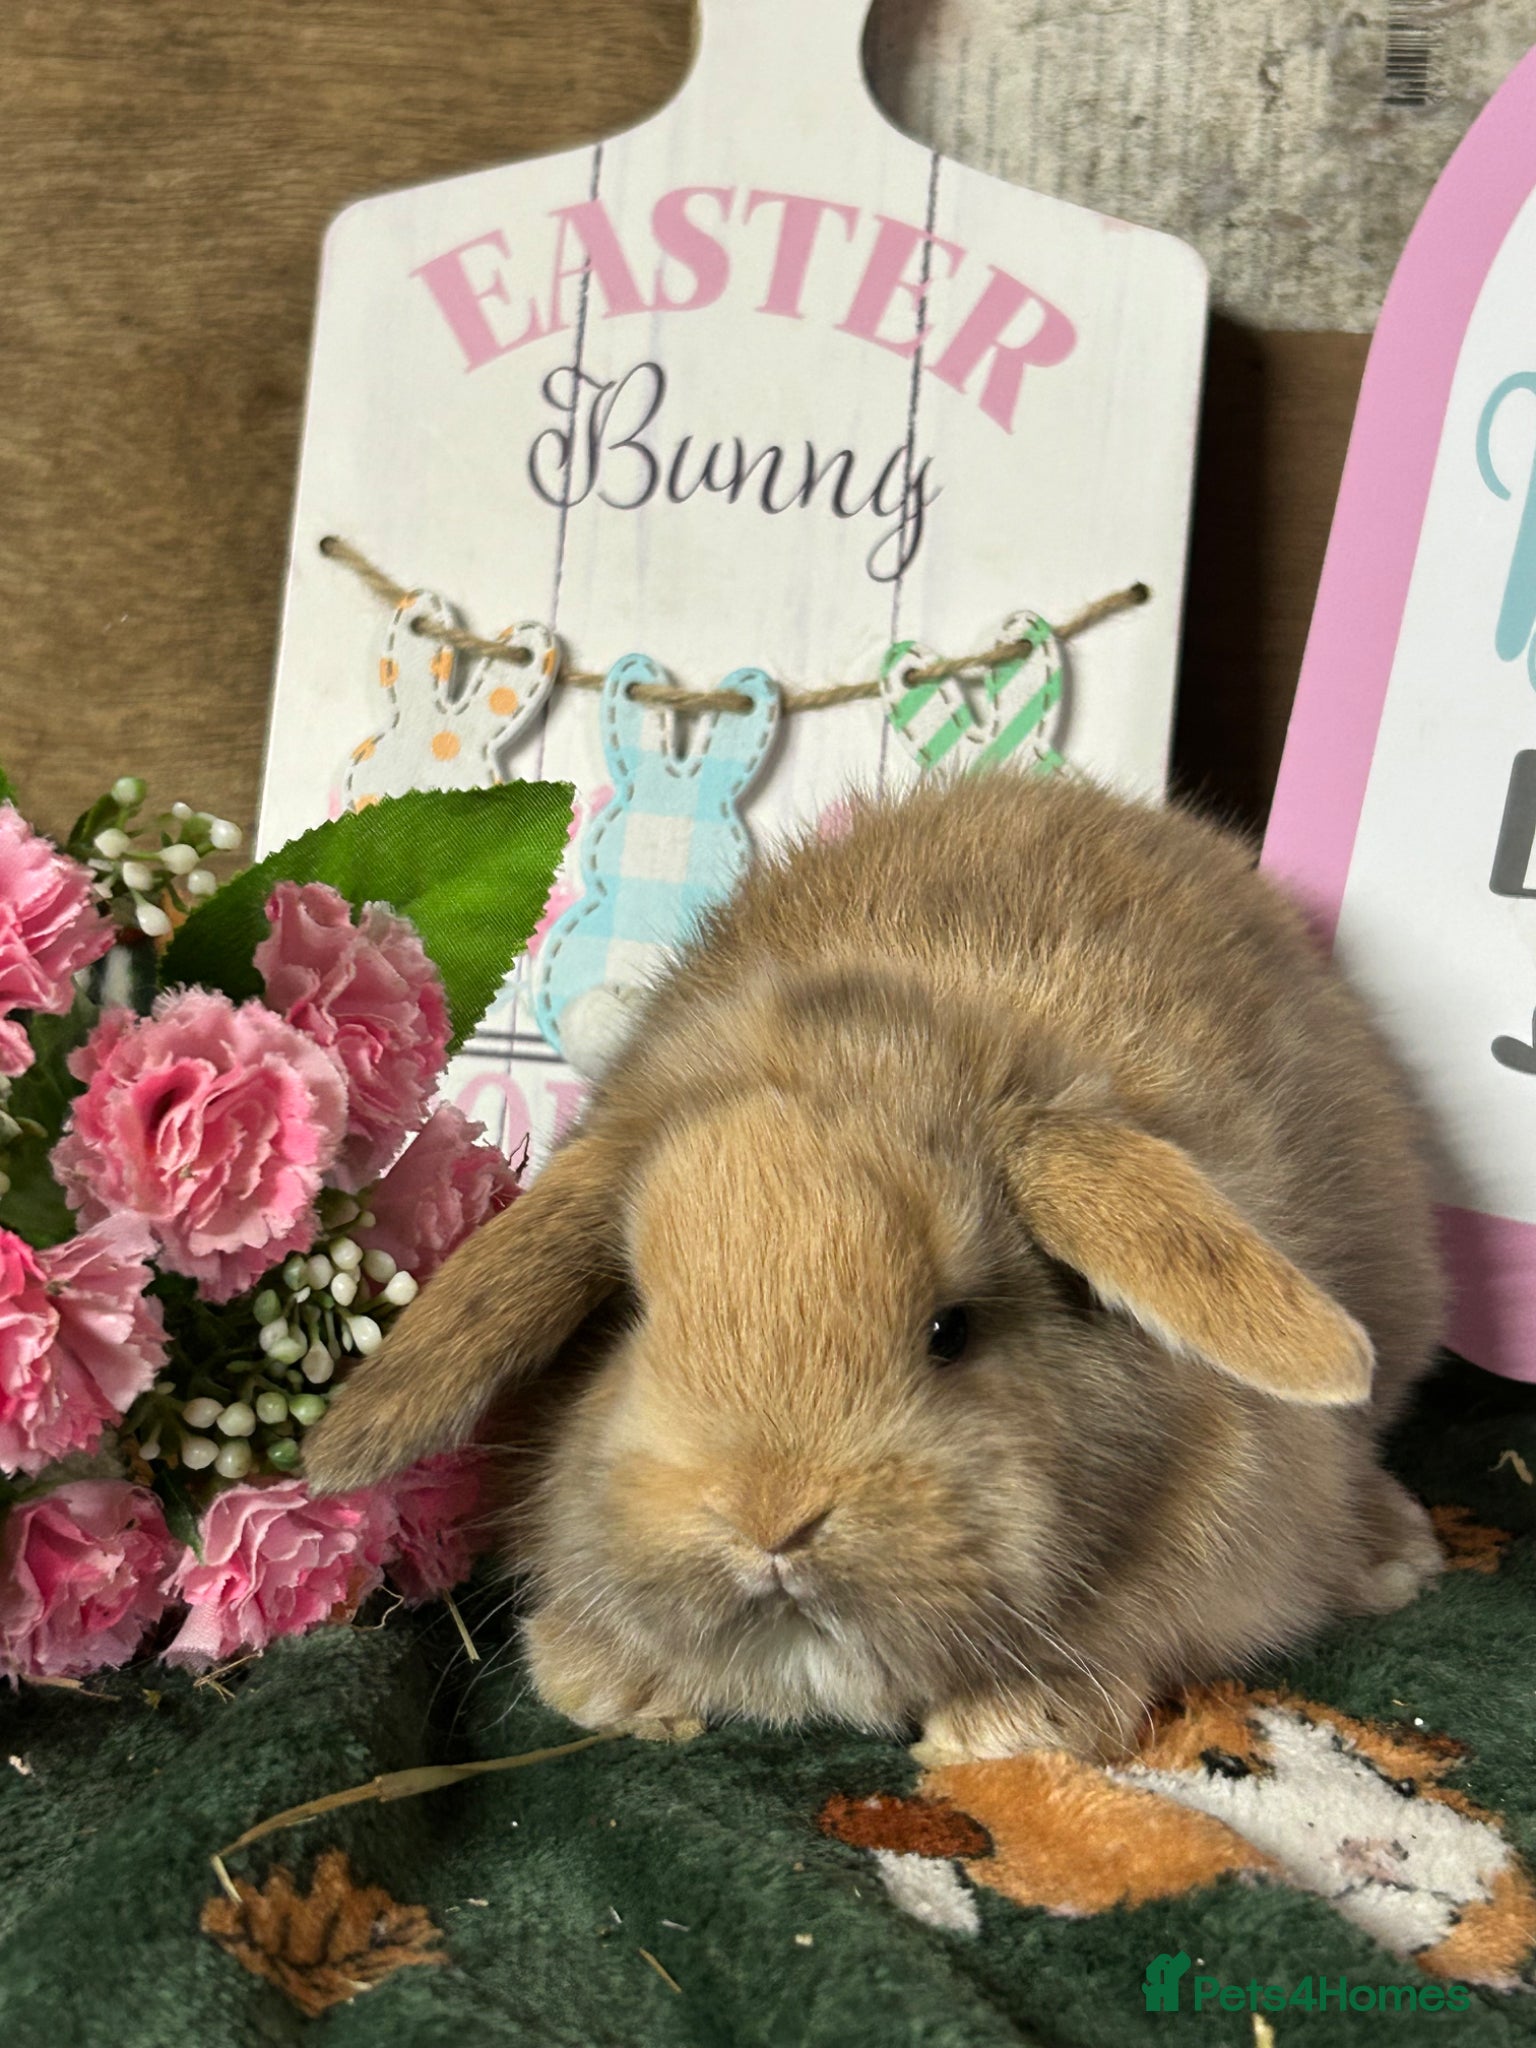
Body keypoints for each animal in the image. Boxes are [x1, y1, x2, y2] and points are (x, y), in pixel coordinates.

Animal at [303, 769, 1447, 1763]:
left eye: (952, 1329)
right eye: (632, 1314)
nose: (771, 1518)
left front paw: (1007, 1726)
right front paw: (608, 1681)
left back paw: (1400, 1553)